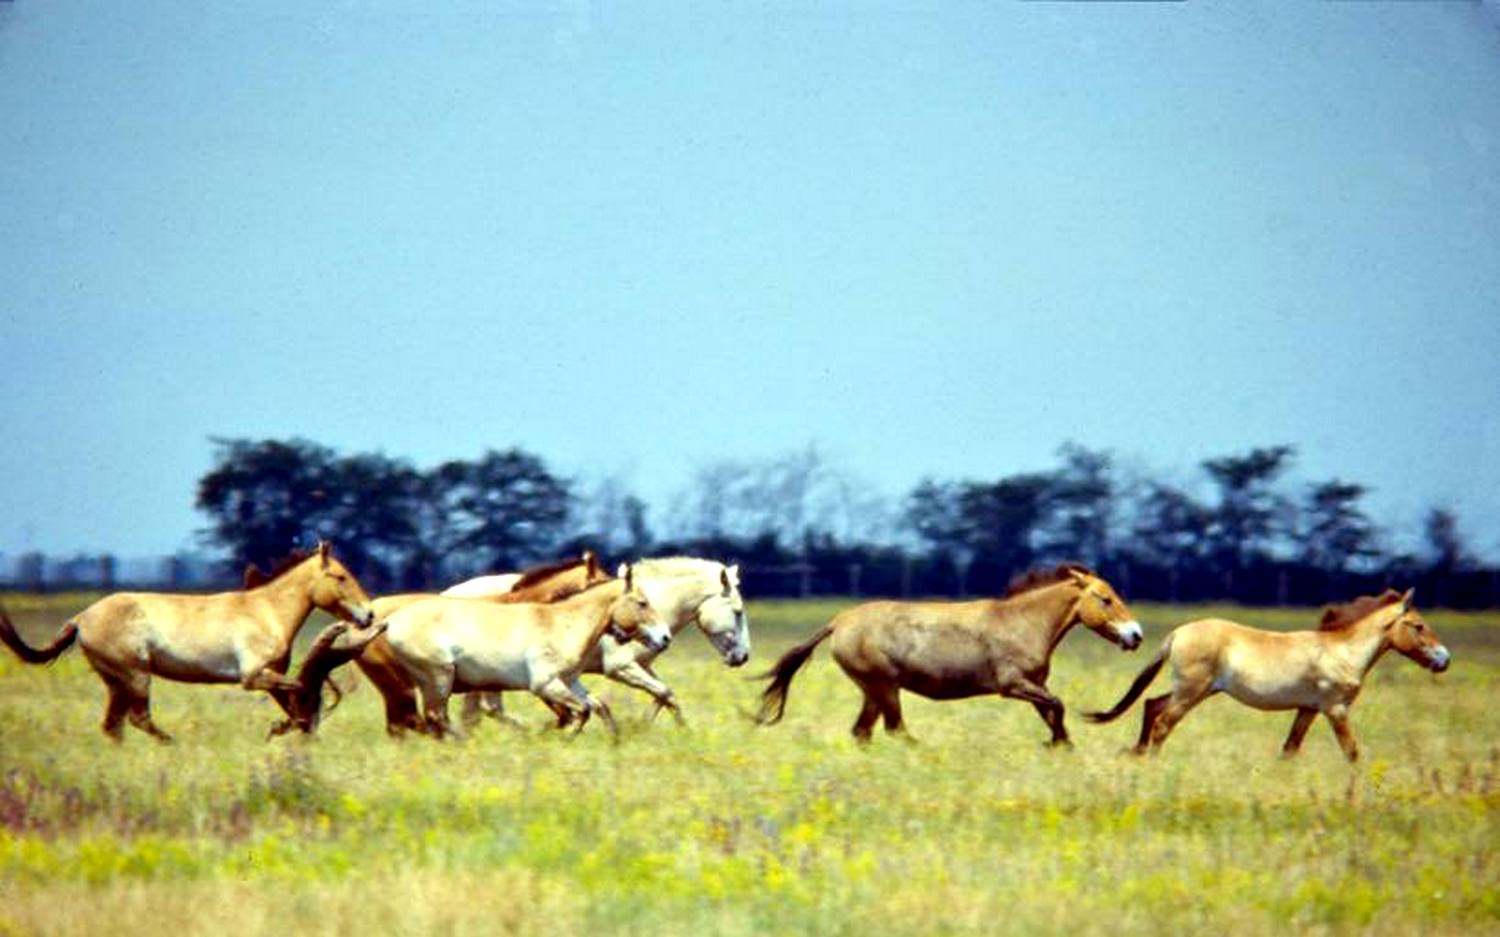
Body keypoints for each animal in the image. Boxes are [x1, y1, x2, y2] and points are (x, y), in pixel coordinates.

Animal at [0, 536, 375, 740]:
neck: (265, 611)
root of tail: (80, 618)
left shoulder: (270, 677)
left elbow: (294, 701)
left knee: (113, 725)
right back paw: (172, 744)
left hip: (116, 681)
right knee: (137, 719)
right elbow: (298, 692)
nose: (369, 615)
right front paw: (284, 727)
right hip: (135, 676)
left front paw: (287, 727)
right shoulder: (253, 677)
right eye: (340, 576)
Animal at [384, 566, 672, 734]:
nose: (665, 637)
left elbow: (589, 708)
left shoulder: (570, 682)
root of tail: (390, 621)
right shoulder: (545, 685)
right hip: (440, 679)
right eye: (642, 603)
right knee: (437, 718)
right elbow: (580, 712)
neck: (563, 624)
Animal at [756, 563, 1140, 746]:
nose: (1135, 635)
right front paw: (1057, 744)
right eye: (1105, 598)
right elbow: (1058, 705)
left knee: (863, 732)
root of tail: (838, 623)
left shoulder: (1034, 687)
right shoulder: (1013, 685)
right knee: (894, 730)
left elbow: (1053, 712)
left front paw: (1062, 745)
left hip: (873, 691)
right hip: (884, 687)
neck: (1022, 622)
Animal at [1086, 584, 1446, 761]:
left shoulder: (1308, 709)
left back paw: (1137, 753)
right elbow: (1352, 752)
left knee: (1152, 706)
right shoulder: (1335, 709)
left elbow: (1289, 750)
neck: (1342, 652)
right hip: (1191, 691)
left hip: (1196, 690)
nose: (1444, 659)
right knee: (1163, 722)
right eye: (1418, 626)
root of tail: (1177, 633)